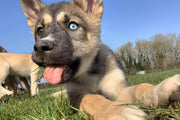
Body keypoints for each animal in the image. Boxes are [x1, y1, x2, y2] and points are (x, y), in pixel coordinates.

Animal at [19, 0, 180, 119]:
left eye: (73, 25)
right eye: (40, 30)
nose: (40, 47)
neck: (89, 72)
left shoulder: (119, 88)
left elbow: (140, 87)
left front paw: (160, 90)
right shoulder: (77, 94)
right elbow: (95, 99)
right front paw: (118, 112)